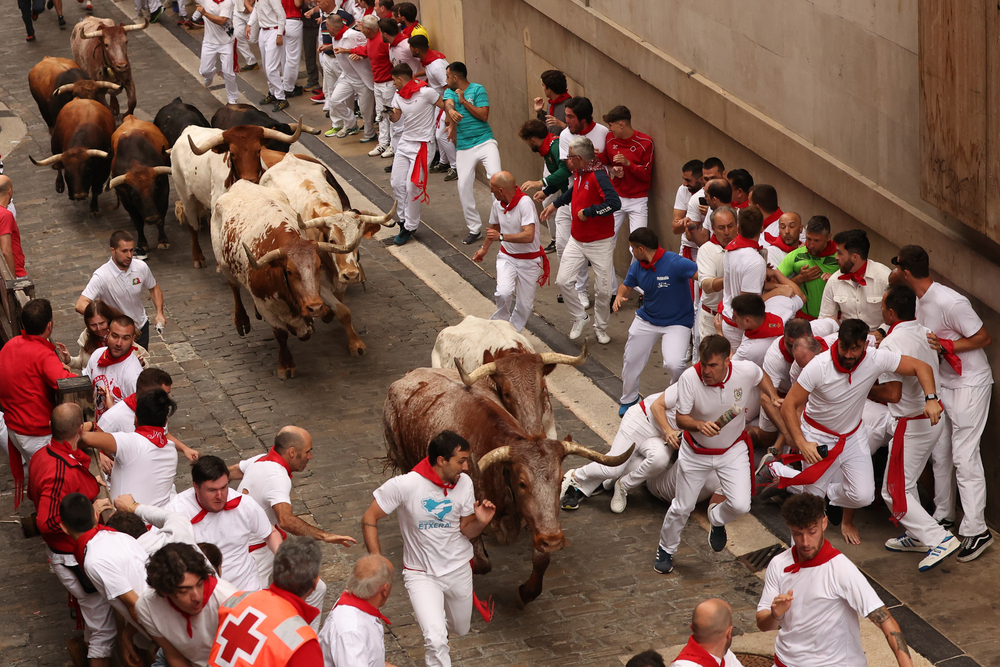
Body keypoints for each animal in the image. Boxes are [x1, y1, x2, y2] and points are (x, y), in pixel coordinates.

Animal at [107, 117, 172, 256]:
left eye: (155, 189)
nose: (152, 218)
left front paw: (163, 241)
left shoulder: (164, 190)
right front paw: (142, 244)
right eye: (133, 194)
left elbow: (161, 216)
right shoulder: (126, 200)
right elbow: (137, 222)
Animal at [173, 121, 304, 268]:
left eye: (258, 150)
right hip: (185, 195)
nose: (250, 178)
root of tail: (188, 129)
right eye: (233, 153)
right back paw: (198, 257)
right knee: (192, 224)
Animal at [211, 180, 394, 378]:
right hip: (225, 266)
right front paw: (286, 365)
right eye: (289, 271)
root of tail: (241, 183)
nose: (352, 274)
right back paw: (242, 320)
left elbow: (341, 311)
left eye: (317, 266)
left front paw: (353, 342)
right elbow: (281, 333)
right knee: (234, 288)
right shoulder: (266, 304)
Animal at [382, 368, 632, 608]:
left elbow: (541, 559)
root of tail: (409, 376)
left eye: (561, 479)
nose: (553, 540)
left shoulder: (536, 521)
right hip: (404, 461)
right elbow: (480, 562)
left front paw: (524, 593)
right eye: (522, 483)